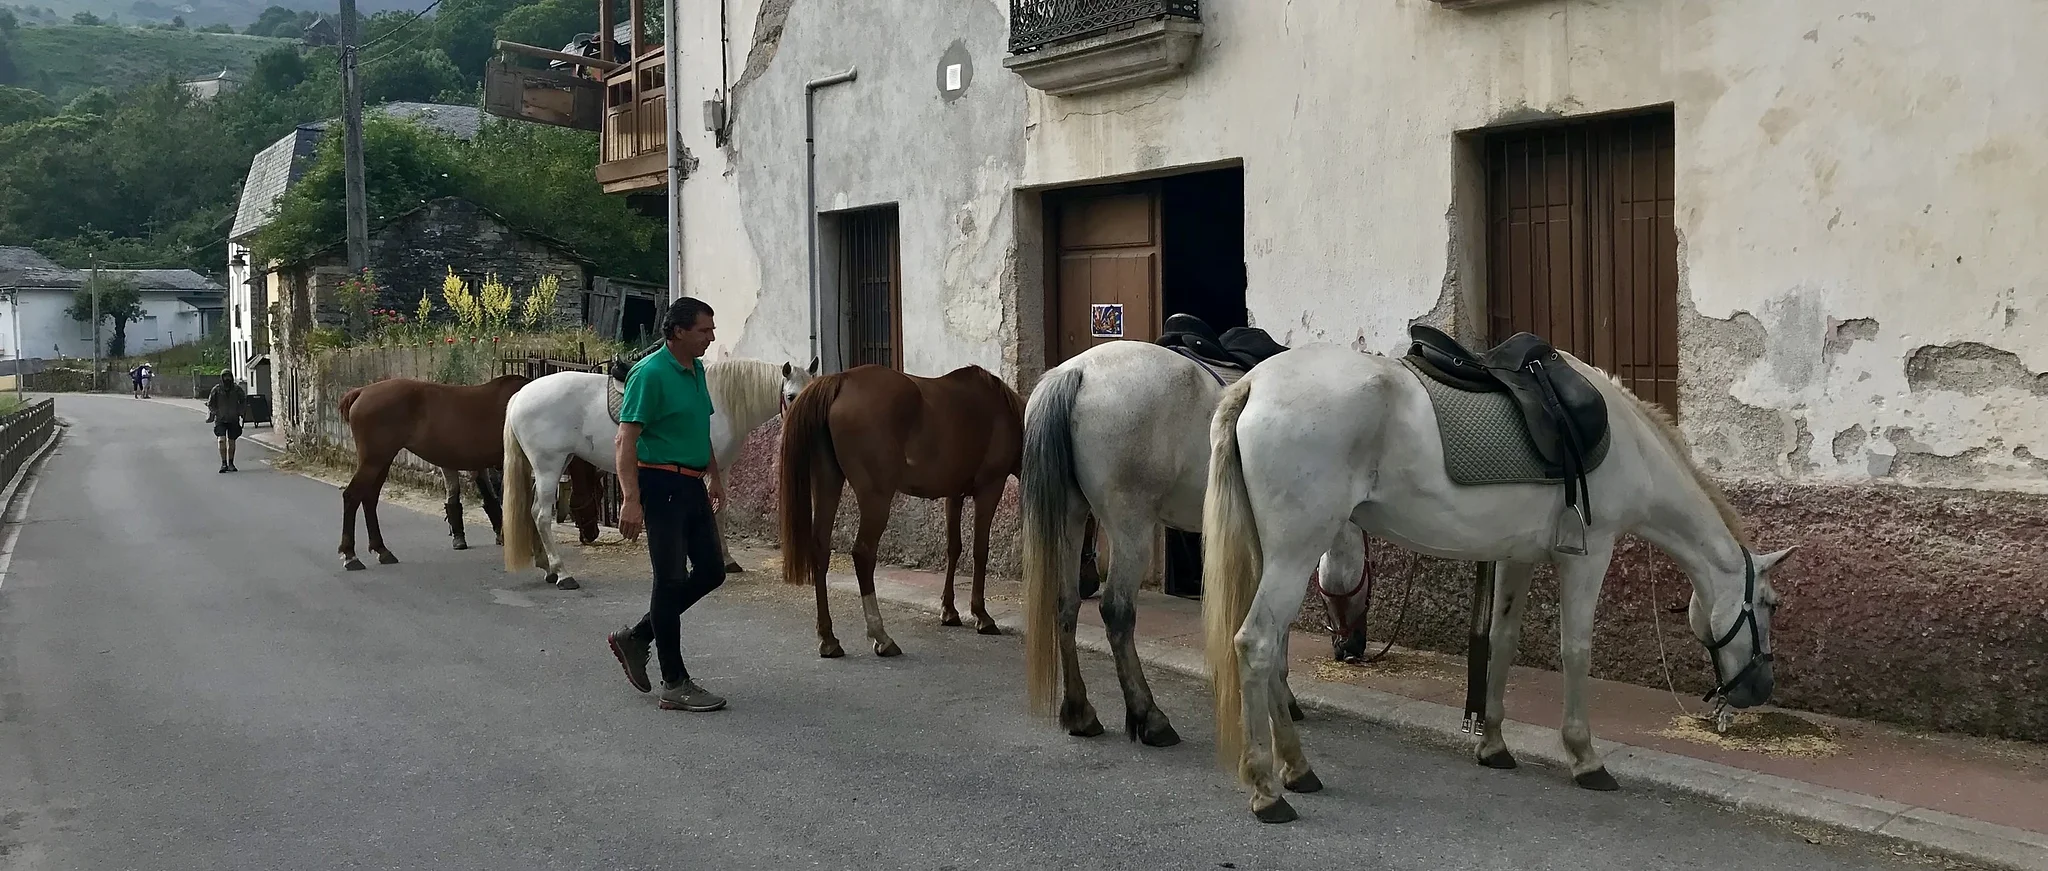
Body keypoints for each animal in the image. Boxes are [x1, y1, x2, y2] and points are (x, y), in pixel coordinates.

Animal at [335, 373, 603, 571]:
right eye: (598, 492)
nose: (592, 533)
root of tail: (361, 392)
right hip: (375, 460)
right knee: (352, 496)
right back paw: (350, 555)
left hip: (381, 460)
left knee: (369, 499)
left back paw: (382, 550)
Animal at [500, 356, 813, 589]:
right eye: (790, 395)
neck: (721, 400)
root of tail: (520, 395)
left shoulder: (720, 470)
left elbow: (720, 513)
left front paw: (726, 560)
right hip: (548, 466)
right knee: (541, 515)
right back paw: (563, 574)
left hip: (554, 464)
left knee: (532, 512)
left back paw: (548, 567)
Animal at [779, 363, 1022, 658]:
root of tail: (841, 381)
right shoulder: (990, 489)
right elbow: (980, 551)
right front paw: (981, 614)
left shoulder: (954, 495)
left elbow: (954, 548)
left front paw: (949, 610)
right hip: (876, 498)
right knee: (863, 554)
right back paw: (881, 636)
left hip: (828, 483)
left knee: (820, 550)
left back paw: (828, 639)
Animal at [1020, 337, 1370, 748]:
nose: (1352, 648)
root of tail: (1077, 371)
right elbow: (1276, 624)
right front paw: (1283, 698)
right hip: (1130, 529)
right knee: (1117, 612)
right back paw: (1150, 717)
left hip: (1073, 517)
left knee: (1066, 604)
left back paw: (1080, 713)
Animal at [1200, 337, 1796, 823]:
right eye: (1768, 602)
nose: (1761, 689)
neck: (1630, 445)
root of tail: (1253, 384)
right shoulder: (1589, 555)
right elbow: (1576, 649)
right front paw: (1585, 758)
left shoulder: (1518, 556)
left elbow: (1502, 643)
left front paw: (1493, 745)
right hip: (1295, 552)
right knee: (1256, 644)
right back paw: (1268, 790)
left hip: (1276, 556)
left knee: (1275, 654)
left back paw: (1298, 768)